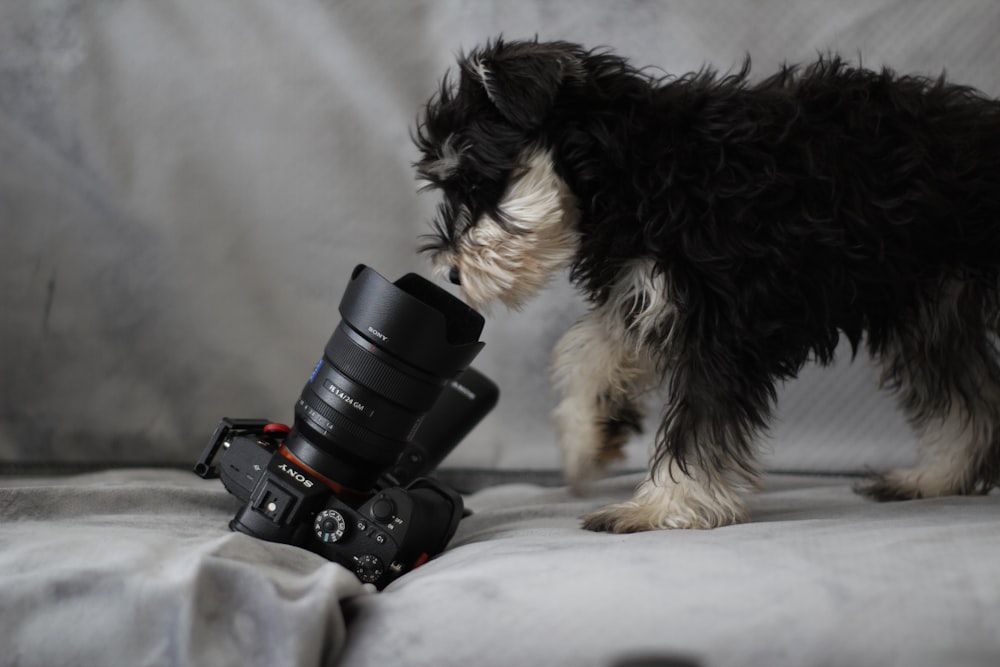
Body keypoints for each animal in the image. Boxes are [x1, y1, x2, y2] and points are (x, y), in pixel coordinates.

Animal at [410, 39, 1000, 536]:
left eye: (476, 182)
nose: (451, 273)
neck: (638, 166)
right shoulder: (648, 291)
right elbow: (592, 351)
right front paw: (586, 438)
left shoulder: (717, 325)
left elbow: (696, 424)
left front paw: (662, 507)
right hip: (933, 308)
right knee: (968, 398)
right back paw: (934, 478)